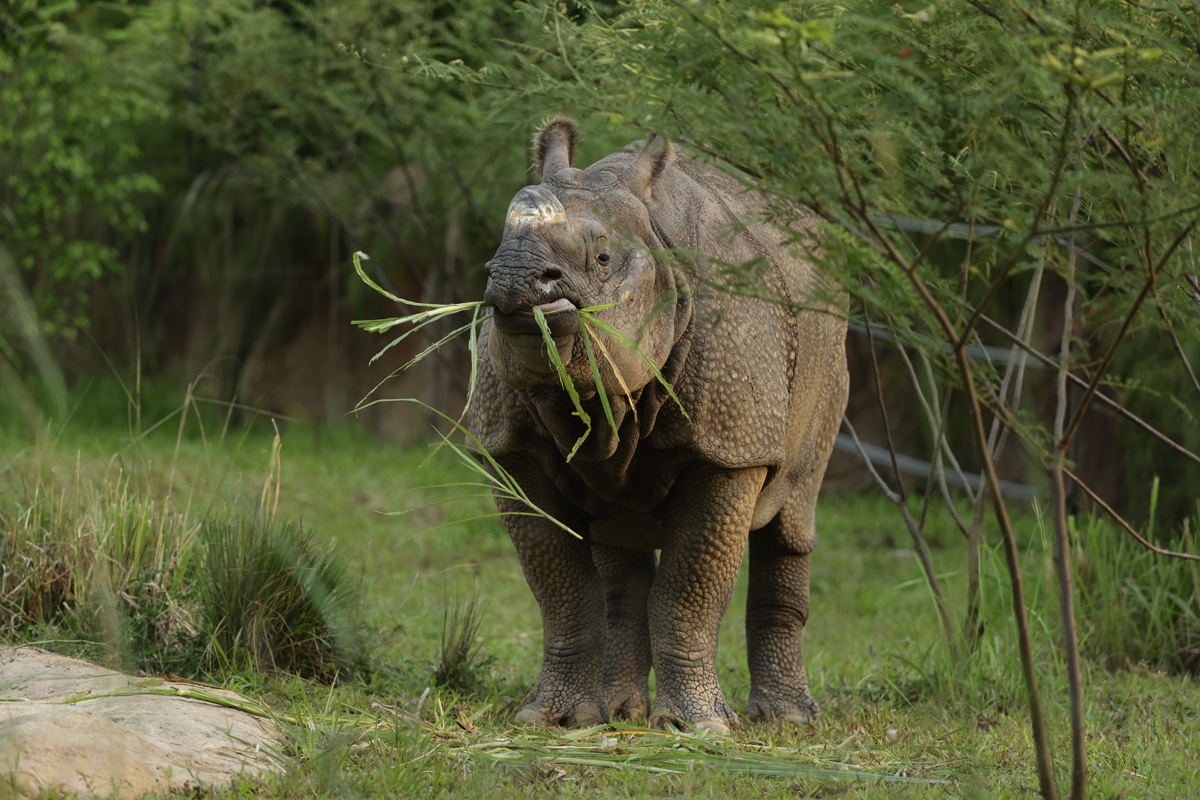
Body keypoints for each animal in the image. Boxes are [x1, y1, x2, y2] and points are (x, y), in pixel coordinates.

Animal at [467, 118, 848, 732]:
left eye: (602, 259)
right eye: (490, 259)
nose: (512, 278)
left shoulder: (727, 446)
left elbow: (689, 590)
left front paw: (699, 727)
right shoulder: (511, 448)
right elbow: (562, 591)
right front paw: (549, 719)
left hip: (832, 355)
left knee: (793, 515)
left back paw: (786, 720)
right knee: (616, 544)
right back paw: (617, 713)